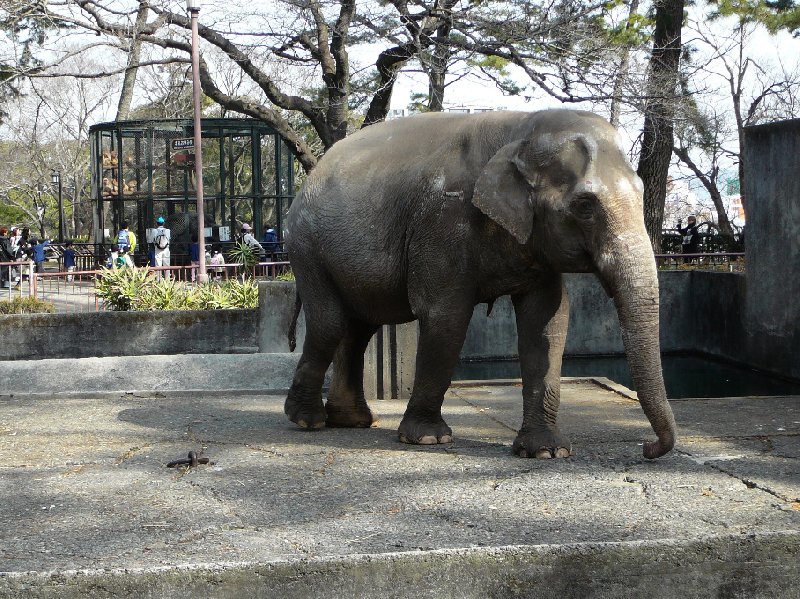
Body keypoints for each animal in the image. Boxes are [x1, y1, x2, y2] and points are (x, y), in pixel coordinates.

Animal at [284, 110, 680, 462]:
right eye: (585, 205)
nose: (647, 448)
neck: (522, 127)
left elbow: (547, 321)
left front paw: (547, 451)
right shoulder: (442, 221)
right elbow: (446, 316)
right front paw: (428, 439)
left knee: (359, 327)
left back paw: (353, 421)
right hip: (306, 248)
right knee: (330, 323)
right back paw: (306, 421)